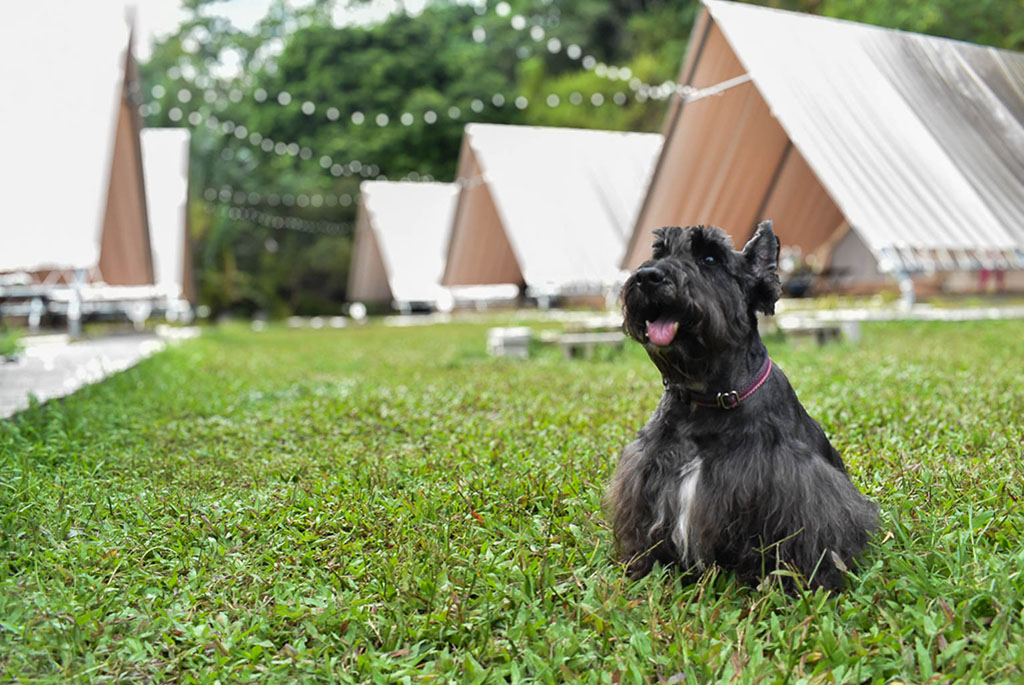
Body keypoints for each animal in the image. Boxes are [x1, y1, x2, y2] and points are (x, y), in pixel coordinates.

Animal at [602, 222, 876, 589]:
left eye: (709, 258)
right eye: (659, 252)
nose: (647, 277)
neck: (709, 397)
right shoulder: (647, 471)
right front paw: (643, 566)